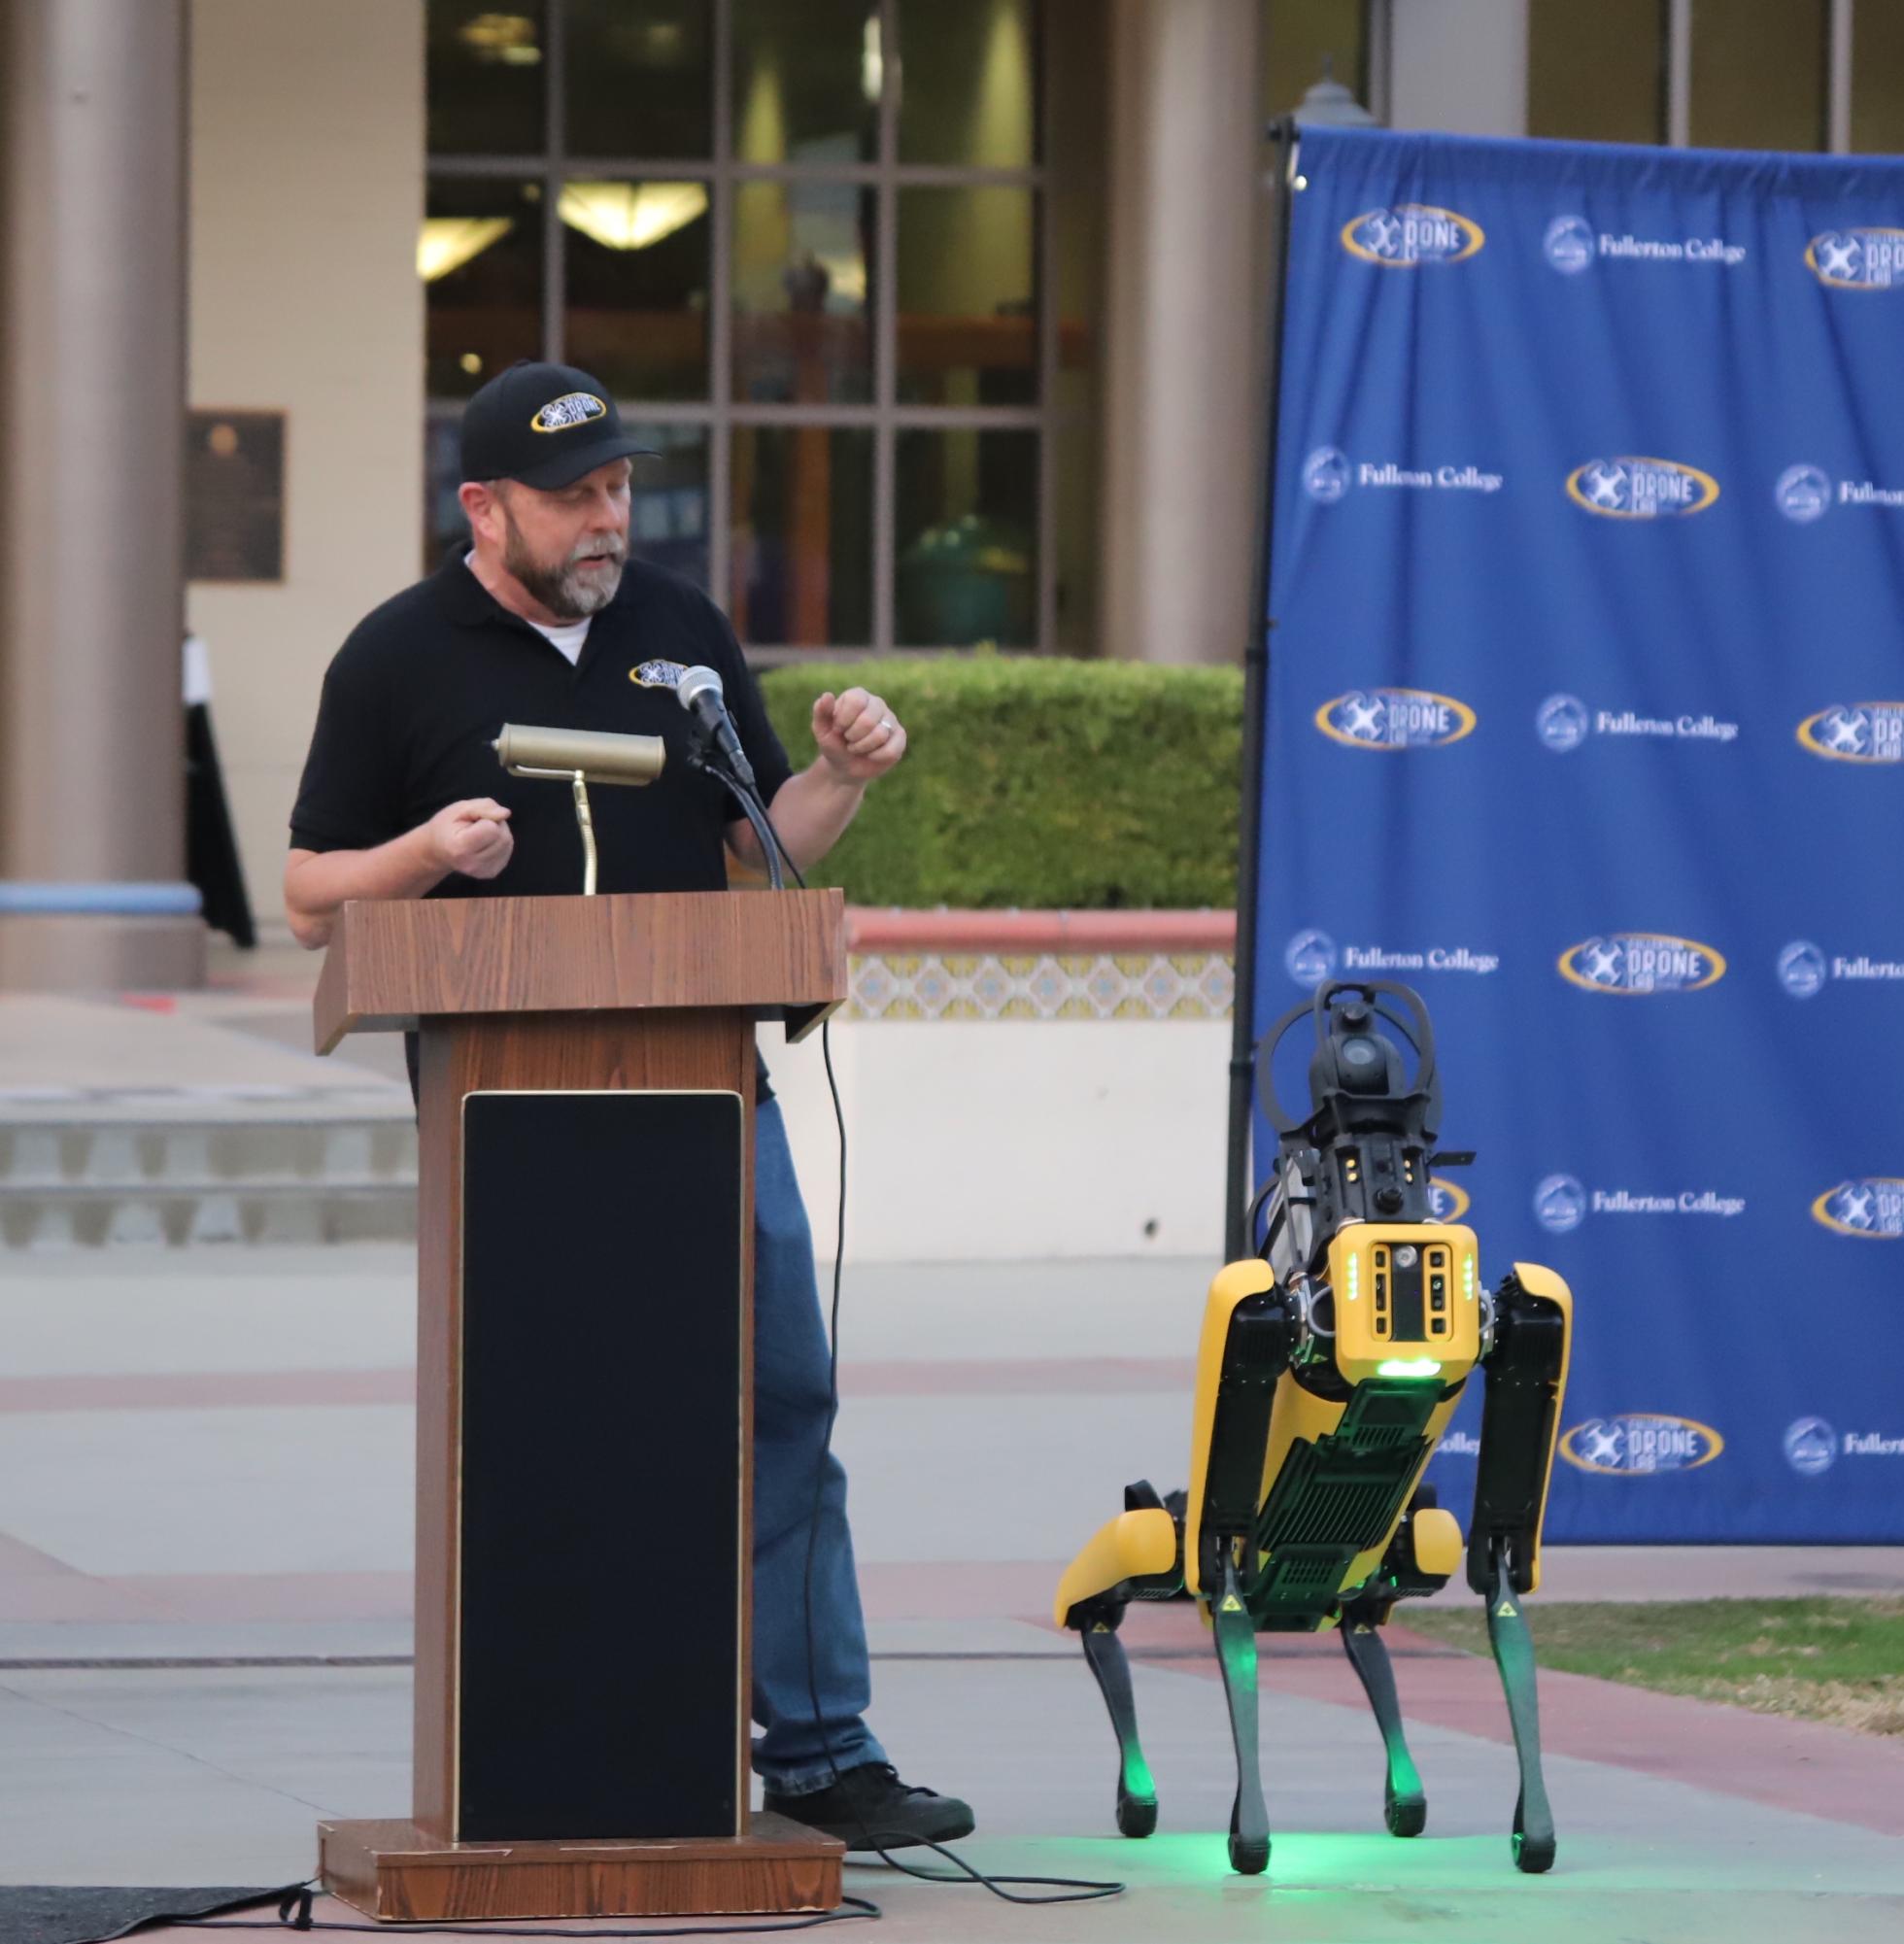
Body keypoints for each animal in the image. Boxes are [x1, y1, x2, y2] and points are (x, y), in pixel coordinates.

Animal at [1049, 979, 1570, 1873]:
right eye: (1345, 1164)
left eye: (1404, 1164)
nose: (1397, 1222)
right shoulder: (1255, 1312)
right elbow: (1223, 1569)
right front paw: (1248, 1831)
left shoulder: (1532, 1309)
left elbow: (1501, 1567)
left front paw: (1531, 1828)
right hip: (1153, 1537)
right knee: (1106, 1600)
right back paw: (1137, 1795)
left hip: (1395, 1552)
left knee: (1373, 1611)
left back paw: (1404, 1789)